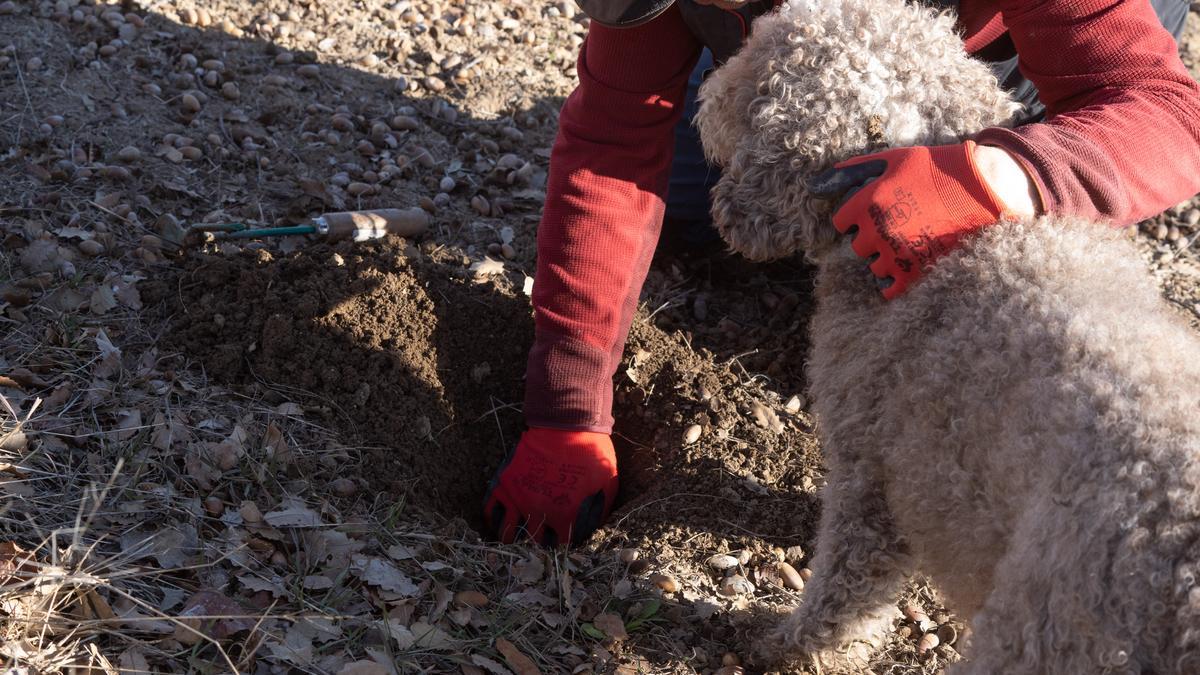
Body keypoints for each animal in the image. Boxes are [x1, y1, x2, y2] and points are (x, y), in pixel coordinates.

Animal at [696, 2, 1200, 667]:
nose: (704, 96)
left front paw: (791, 647)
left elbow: (847, 588)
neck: (961, 247)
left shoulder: (873, 467)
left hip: (1045, 629)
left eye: (759, 77)